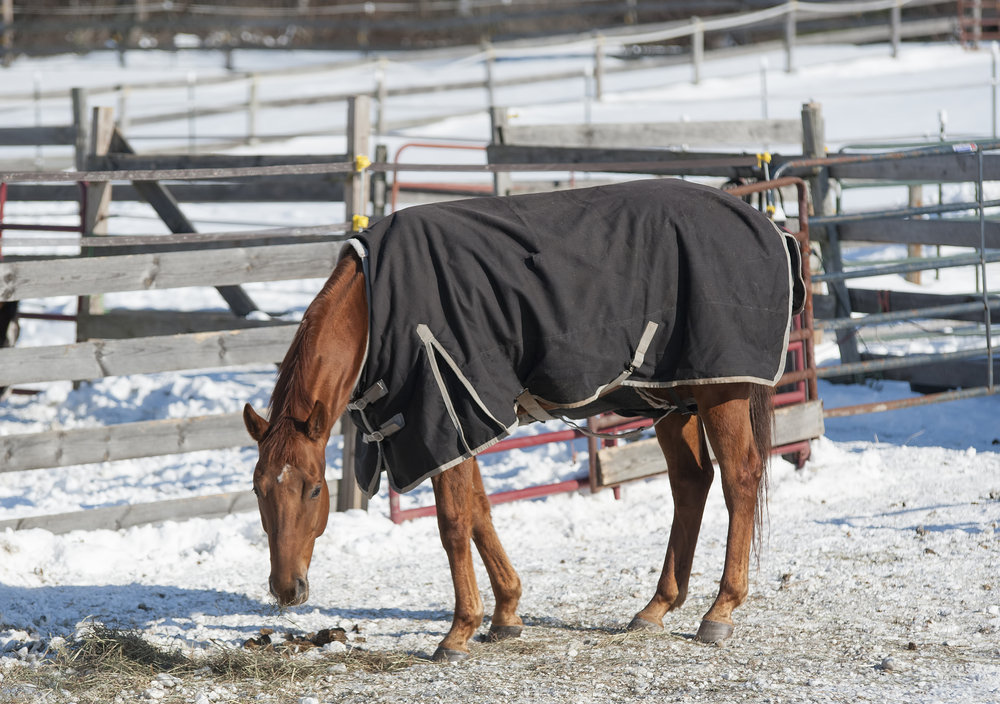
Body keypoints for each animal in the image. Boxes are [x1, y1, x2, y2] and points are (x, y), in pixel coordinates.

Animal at [243, 179, 802, 662]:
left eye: (315, 490)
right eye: (258, 491)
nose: (286, 589)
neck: (374, 308)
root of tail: (766, 224)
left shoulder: (442, 415)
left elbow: (453, 524)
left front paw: (459, 630)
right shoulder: (461, 424)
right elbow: (479, 512)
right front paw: (506, 613)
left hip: (720, 392)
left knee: (739, 479)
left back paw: (721, 610)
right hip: (669, 396)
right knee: (691, 482)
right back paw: (656, 607)